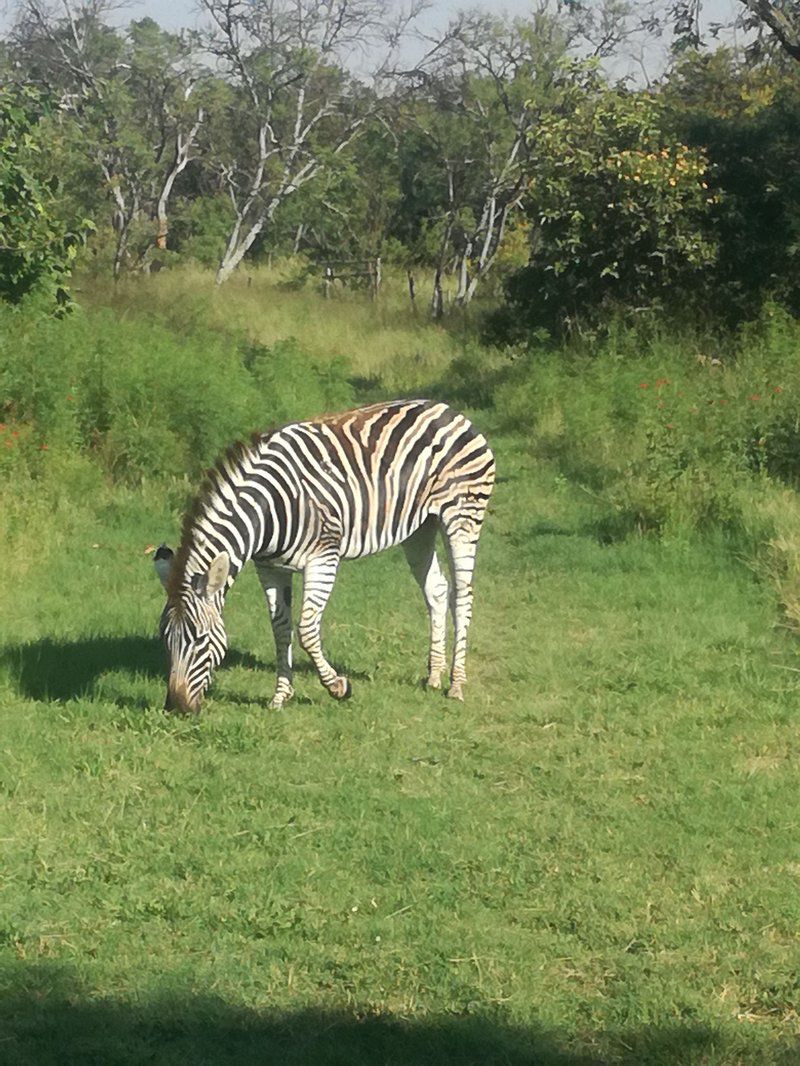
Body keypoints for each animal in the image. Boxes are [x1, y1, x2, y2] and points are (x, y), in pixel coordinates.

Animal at [151, 400, 494, 716]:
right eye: (165, 640)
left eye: (200, 639)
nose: (176, 708)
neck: (268, 509)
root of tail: (448, 410)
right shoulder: (269, 566)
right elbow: (280, 627)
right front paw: (280, 696)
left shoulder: (324, 558)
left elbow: (306, 629)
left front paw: (338, 686)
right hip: (420, 528)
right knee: (437, 591)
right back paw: (434, 675)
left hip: (462, 516)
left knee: (462, 597)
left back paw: (456, 684)